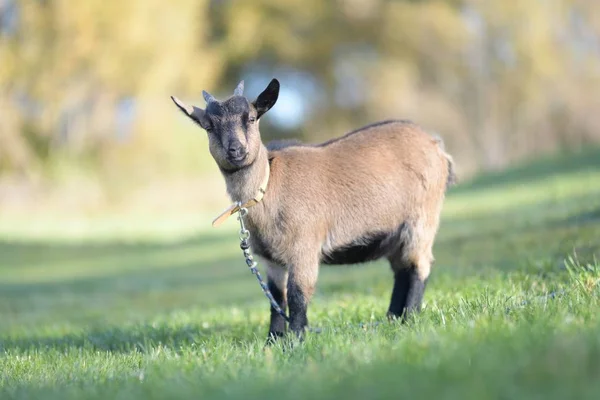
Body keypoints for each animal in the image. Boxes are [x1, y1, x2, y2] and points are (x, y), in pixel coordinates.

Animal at [171, 79, 458, 342]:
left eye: (251, 118)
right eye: (209, 126)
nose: (236, 150)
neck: (269, 184)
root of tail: (437, 147)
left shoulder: (304, 246)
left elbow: (298, 294)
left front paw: (296, 340)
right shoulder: (271, 259)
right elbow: (277, 297)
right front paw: (272, 340)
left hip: (422, 219)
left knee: (419, 265)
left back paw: (410, 317)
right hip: (395, 233)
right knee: (402, 269)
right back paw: (393, 318)